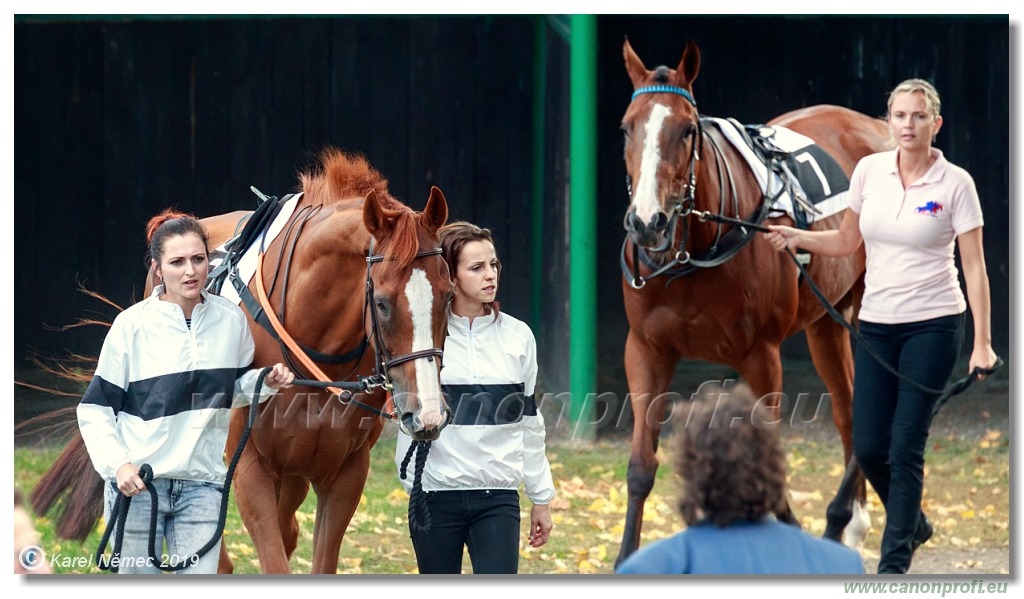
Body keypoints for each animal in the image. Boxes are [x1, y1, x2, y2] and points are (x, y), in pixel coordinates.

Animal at [610, 39, 892, 561]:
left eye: (687, 129)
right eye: (626, 127)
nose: (646, 222)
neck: (691, 254)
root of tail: (883, 129)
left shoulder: (761, 355)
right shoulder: (646, 349)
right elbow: (640, 467)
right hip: (827, 320)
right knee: (848, 407)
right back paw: (857, 520)